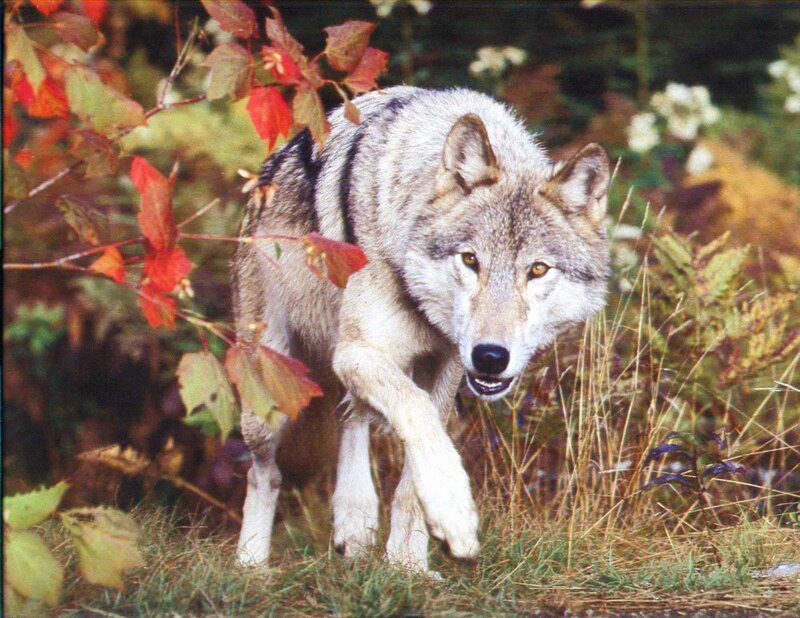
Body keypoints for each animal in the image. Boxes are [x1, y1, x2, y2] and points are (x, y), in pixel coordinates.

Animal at [232, 86, 610, 575]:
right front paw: (453, 511)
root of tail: (266, 172)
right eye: (470, 260)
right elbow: (416, 415)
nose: (491, 356)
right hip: (271, 393)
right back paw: (250, 563)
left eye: (538, 270)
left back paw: (354, 526)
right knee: (265, 471)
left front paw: (407, 565)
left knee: (352, 419)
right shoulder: (357, 352)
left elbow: (414, 470)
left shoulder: (446, 367)